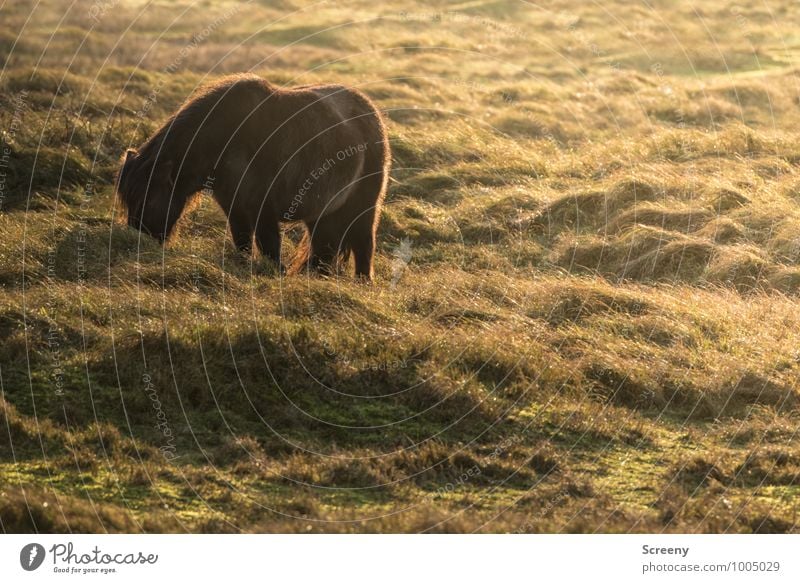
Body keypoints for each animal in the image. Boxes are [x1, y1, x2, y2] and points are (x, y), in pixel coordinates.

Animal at [117, 74, 392, 280]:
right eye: (129, 199)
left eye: (149, 198)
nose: (138, 244)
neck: (225, 139)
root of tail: (370, 111)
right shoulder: (234, 206)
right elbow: (242, 241)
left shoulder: (263, 208)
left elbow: (269, 245)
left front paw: (277, 274)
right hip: (324, 211)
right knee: (323, 246)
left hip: (365, 205)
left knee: (364, 243)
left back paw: (363, 281)